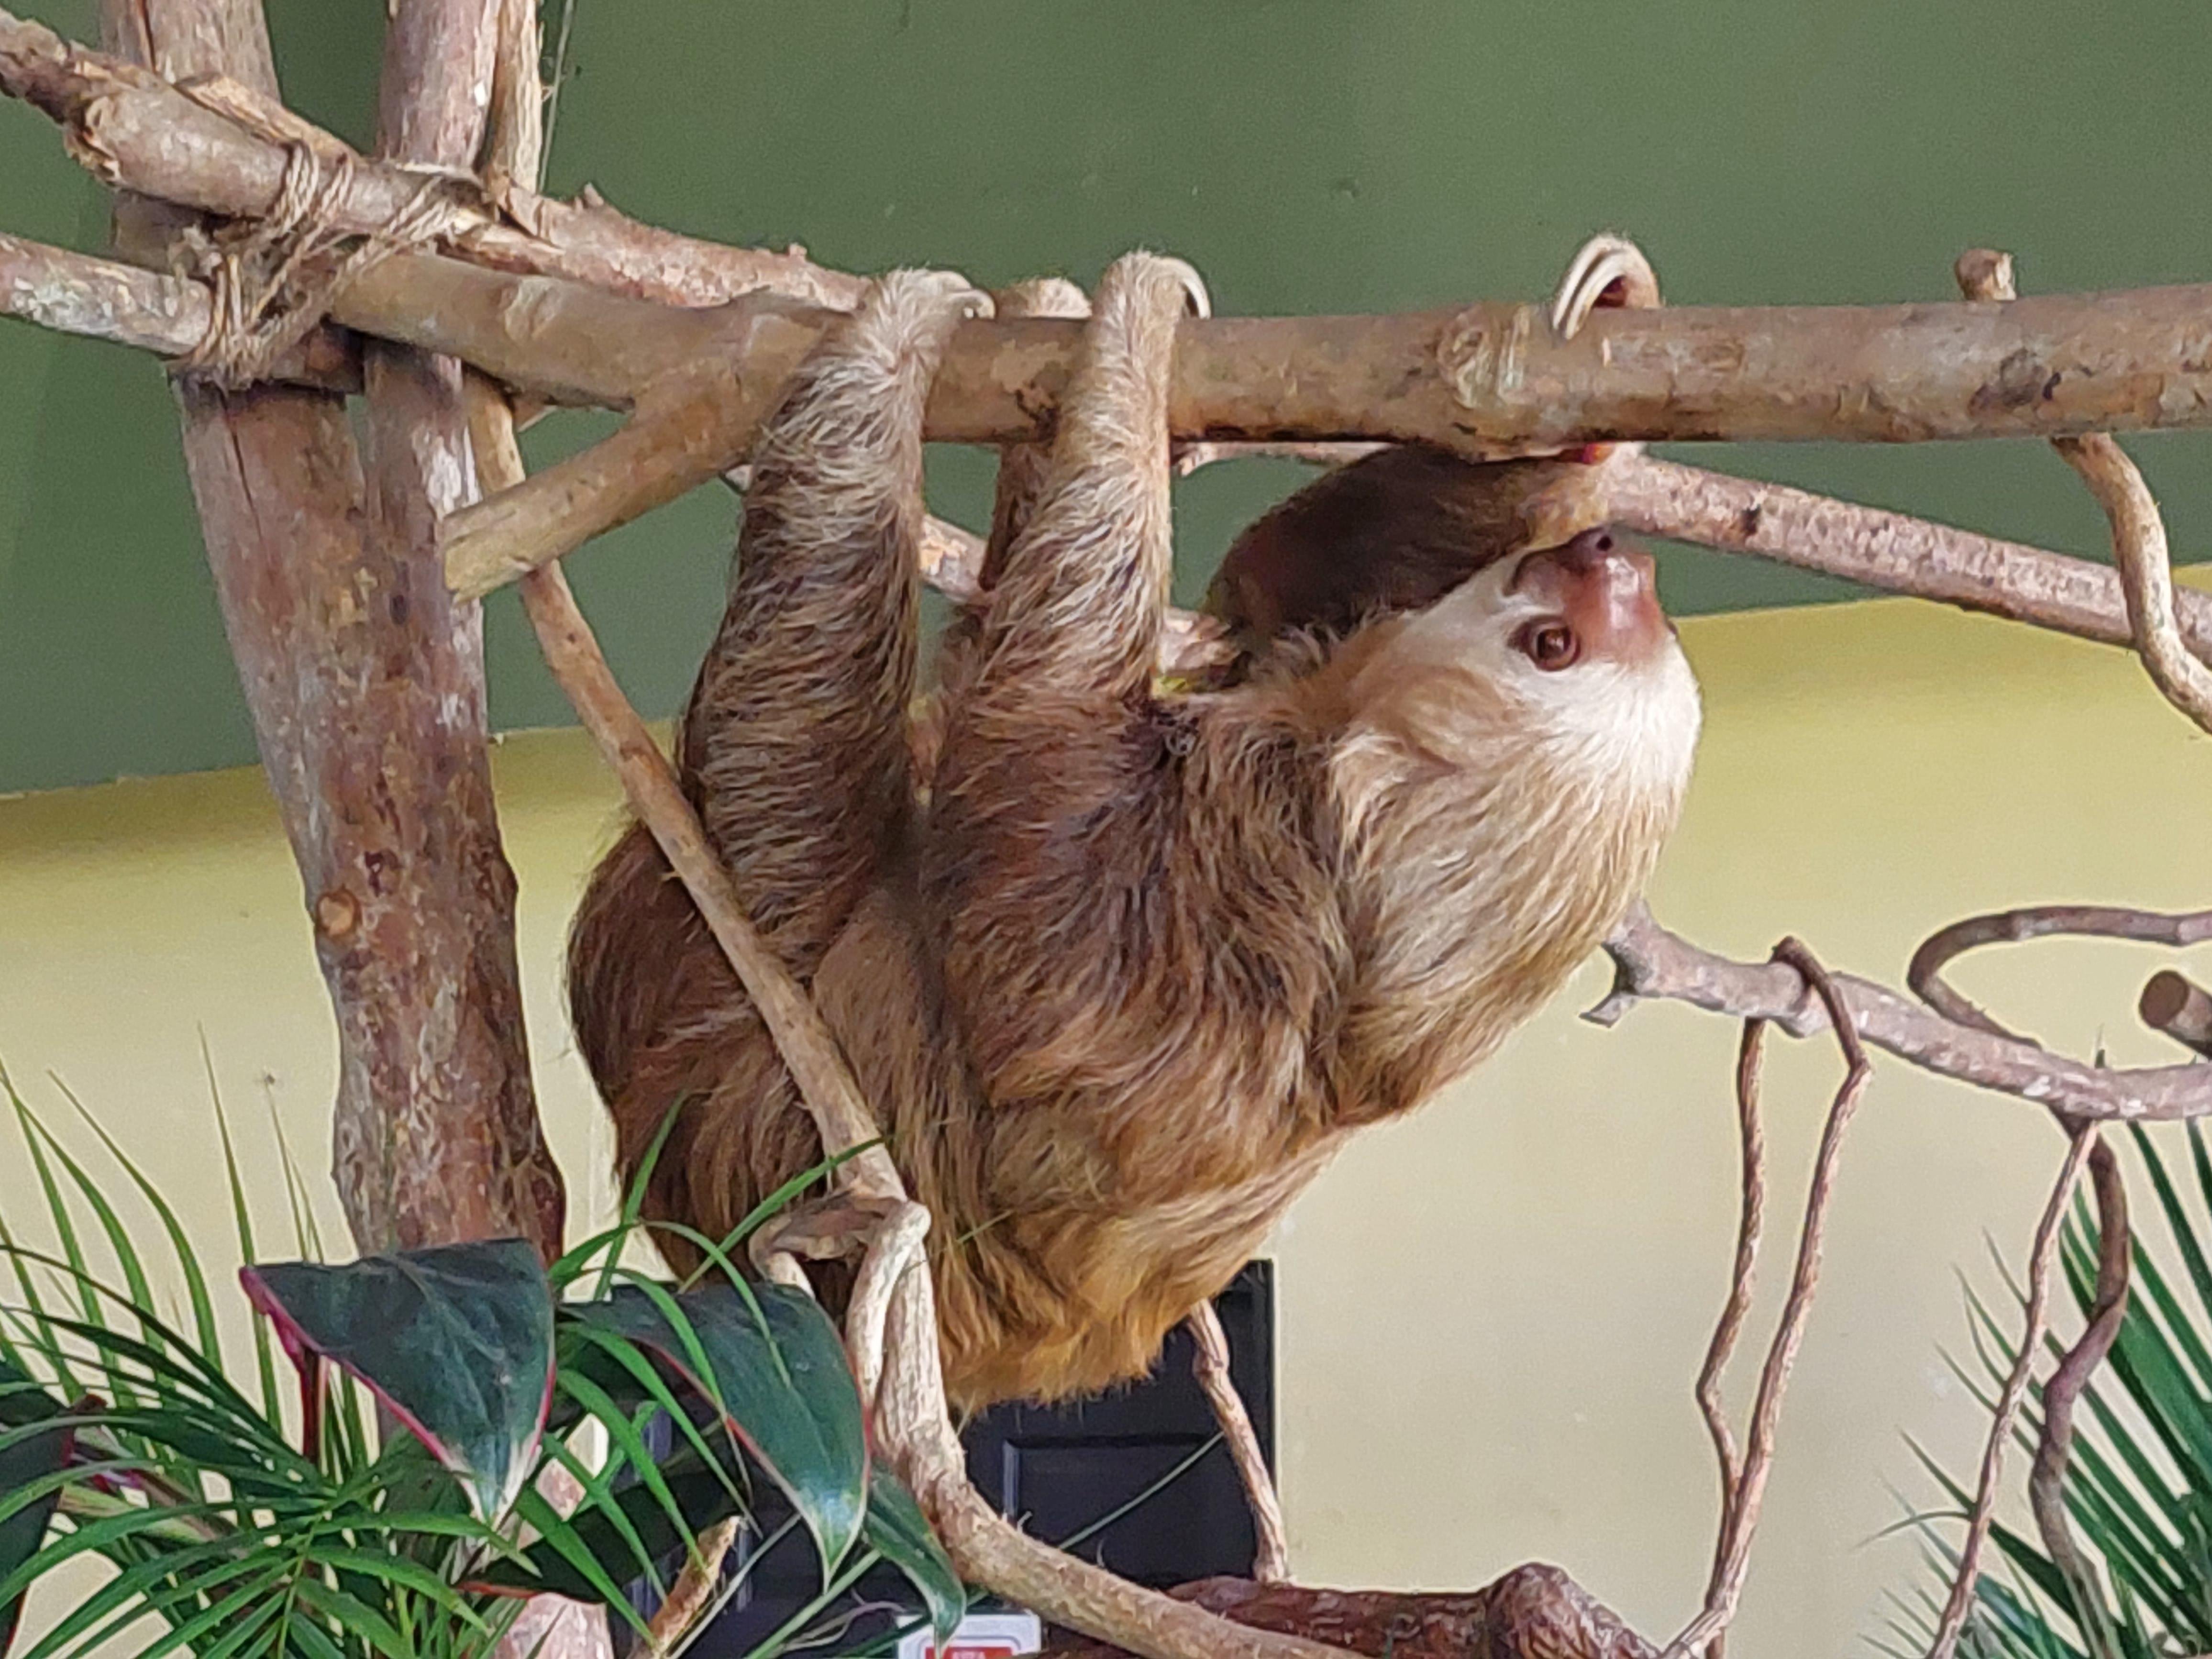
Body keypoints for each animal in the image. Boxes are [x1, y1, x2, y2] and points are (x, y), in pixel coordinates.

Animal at [566, 253, 1702, 1412]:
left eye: (1548, 645)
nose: (1613, 561)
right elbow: (1281, 578)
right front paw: (1598, 357)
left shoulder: (1210, 926)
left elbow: (1025, 846)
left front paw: (1133, 333)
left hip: (726, 1077)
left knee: (791, 724)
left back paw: (884, 357)